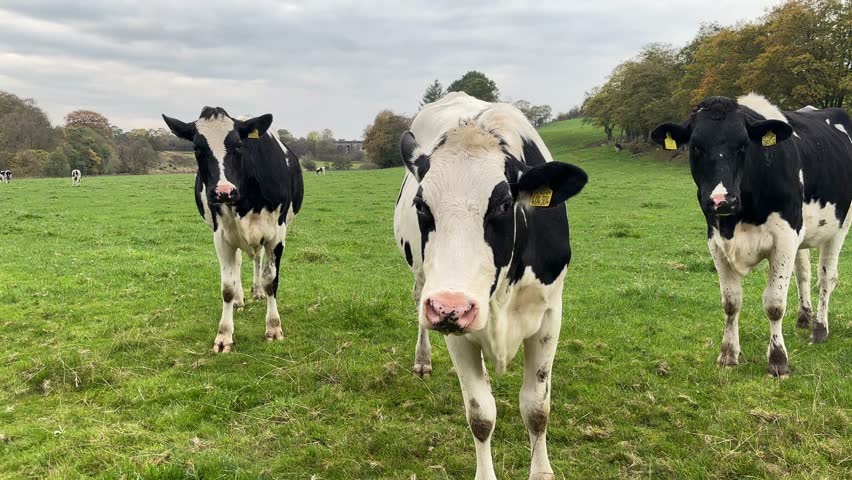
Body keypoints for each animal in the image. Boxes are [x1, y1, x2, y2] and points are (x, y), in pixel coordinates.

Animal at [162, 107, 304, 352]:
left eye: (238, 145)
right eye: (197, 147)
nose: (223, 191)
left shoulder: (277, 234)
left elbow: (271, 280)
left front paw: (273, 327)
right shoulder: (221, 236)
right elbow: (227, 286)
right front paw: (224, 335)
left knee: (258, 260)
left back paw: (257, 291)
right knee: (238, 263)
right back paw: (239, 299)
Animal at [393, 92, 587, 479]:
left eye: (503, 204)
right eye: (421, 205)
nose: (450, 306)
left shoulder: (549, 317)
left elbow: (536, 408)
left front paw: (541, 471)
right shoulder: (454, 329)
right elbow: (481, 415)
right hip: (423, 280)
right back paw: (423, 360)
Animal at [651, 93, 852, 377]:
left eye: (744, 145)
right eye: (696, 146)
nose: (721, 200)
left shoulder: (785, 237)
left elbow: (775, 304)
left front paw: (778, 360)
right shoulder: (716, 240)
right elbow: (731, 302)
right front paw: (728, 354)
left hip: (840, 226)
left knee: (826, 278)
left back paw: (820, 329)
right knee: (803, 274)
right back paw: (804, 317)